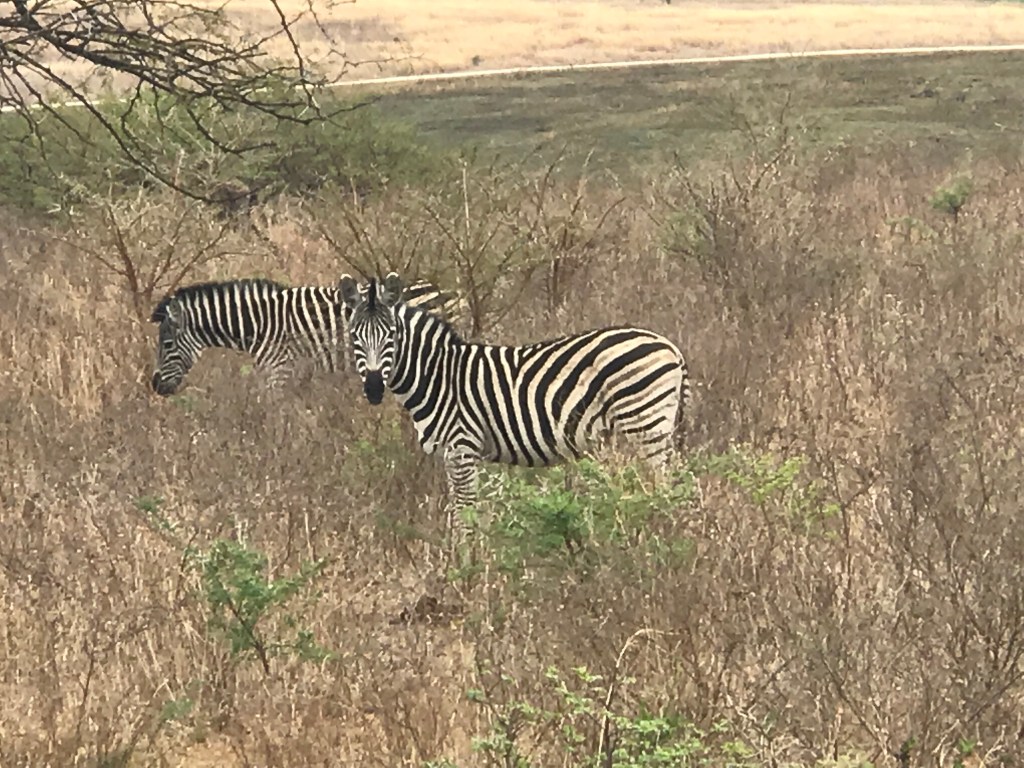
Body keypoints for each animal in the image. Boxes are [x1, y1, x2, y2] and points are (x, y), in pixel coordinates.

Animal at [338, 271, 690, 532]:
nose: (373, 389)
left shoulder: (462, 447)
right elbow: (460, 511)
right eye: (354, 336)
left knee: (663, 489)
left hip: (644, 425)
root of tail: (669, 347)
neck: (438, 374)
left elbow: (464, 514)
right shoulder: (453, 454)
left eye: (391, 335)